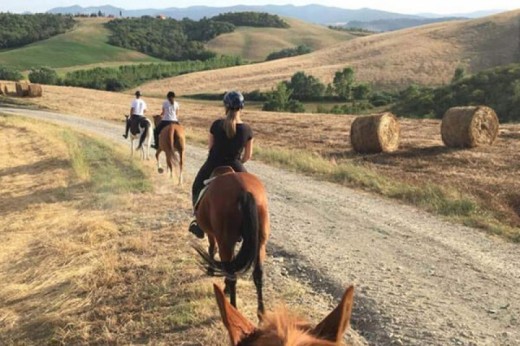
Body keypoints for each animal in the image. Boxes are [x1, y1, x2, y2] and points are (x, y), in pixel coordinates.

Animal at [193, 168, 270, 318]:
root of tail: (244, 191)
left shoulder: (213, 234)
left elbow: (212, 249)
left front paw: (211, 270)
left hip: (225, 240)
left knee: (232, 274)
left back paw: (233, 308)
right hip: (260, 243)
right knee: (258, 273)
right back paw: (261, 314)